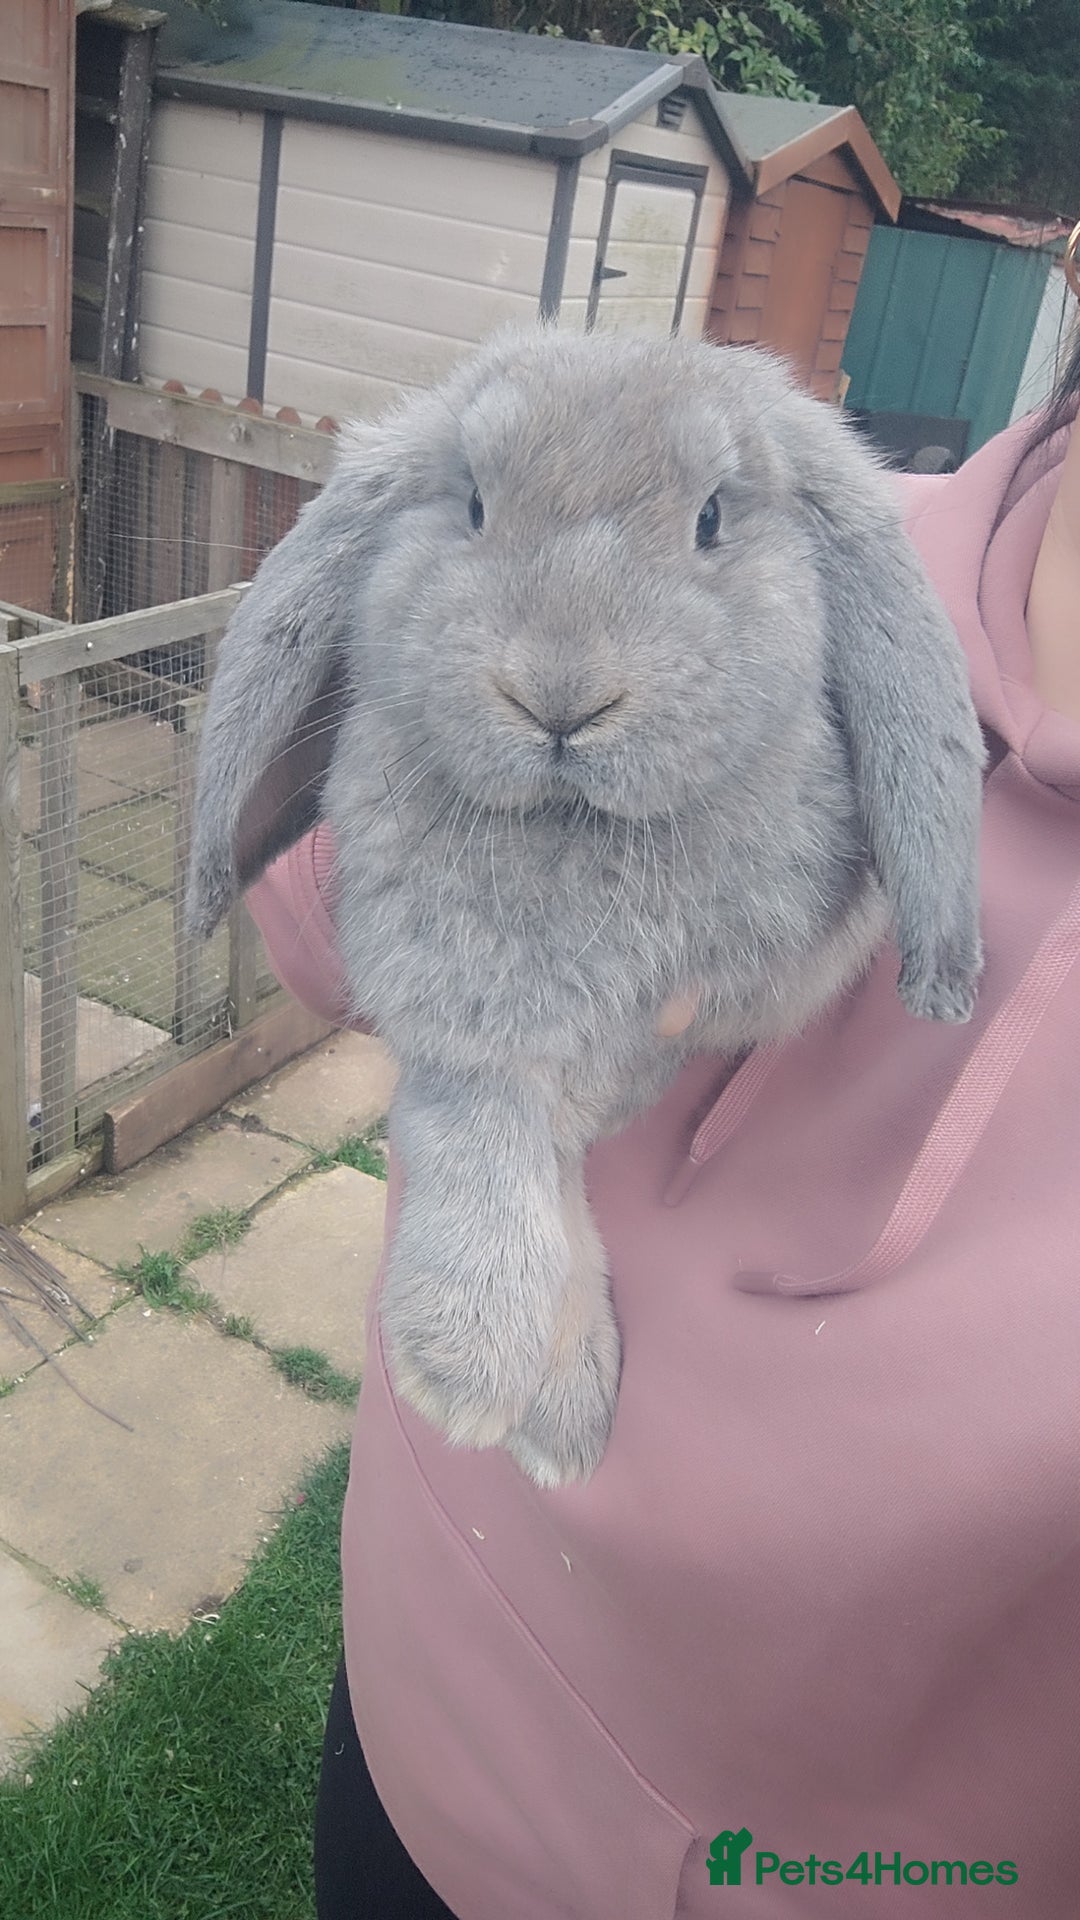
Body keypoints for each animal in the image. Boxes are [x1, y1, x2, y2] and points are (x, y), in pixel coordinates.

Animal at [186, 328, 985, 1489]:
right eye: (473, 503)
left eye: (712, 518)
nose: (560, 695)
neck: (576, 827)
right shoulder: (468, 1023)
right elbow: (483, 1137)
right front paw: (465, 1366)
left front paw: (480, 1371)